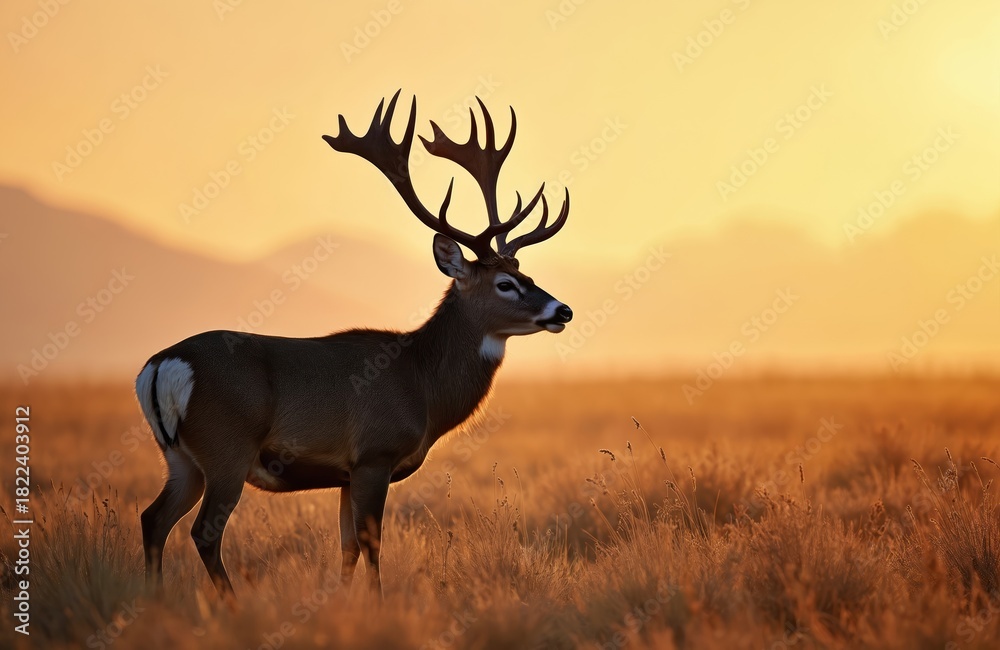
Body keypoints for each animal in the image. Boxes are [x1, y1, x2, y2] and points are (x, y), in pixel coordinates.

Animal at [134, 91, 572, 600]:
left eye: (528, 275)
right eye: (505, 284)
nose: (562, 310)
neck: (422, 386)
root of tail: (162, 366)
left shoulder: (345, 473)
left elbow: (346, 547)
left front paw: (341, 602)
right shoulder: (374, 455)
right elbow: (371, 544)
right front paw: (376, 604)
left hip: (180, 457)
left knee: (153, 519)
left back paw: (155, 599)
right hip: (226, 448)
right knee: (203, 531)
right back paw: (231, 603)